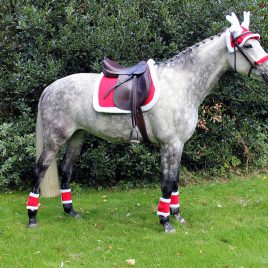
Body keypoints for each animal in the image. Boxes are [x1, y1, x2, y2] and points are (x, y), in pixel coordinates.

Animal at [26, 12, 268, 232]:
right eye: (248, 45)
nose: (267, 72)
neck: (181, 83)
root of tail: (49, 89)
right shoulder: (170, 144)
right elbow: (167, 183)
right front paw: (165, 221)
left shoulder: (179, 145)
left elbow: (175, 180)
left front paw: (177, 215)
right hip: (55, 138)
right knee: (39, 170)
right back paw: (32, 217)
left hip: (77, 136)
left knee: (66, 170)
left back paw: (70, 211)